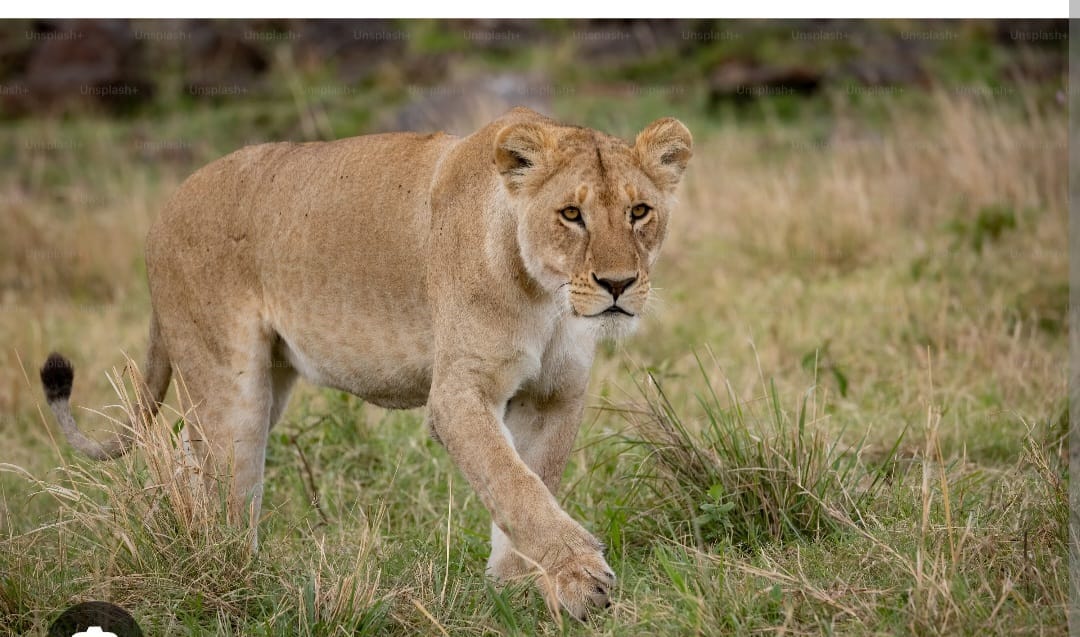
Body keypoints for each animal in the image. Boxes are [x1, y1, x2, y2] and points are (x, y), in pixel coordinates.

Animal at [39, 106, 692, 619]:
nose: (617, 284)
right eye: (571, 215)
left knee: (186, 451)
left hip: (271, 378)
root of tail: (167, 204)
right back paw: (228, 569)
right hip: (230, 382)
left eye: (639, 212)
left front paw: (519, 588)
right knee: (224, 473)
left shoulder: (556, 395)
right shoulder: (458, 394)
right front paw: (579, 579)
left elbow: (535, 480)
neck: (548, 300)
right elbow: (513, 483)